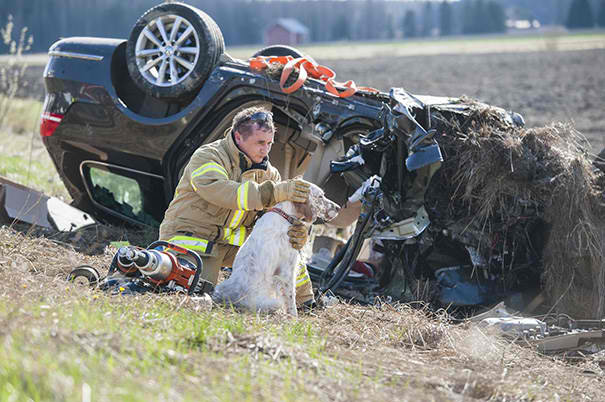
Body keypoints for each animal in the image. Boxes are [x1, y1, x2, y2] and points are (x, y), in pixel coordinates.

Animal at [211, 183, 340, 318]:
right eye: (320, 197)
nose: (339, 208)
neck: (285, 215)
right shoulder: (286, 271)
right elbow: (291, 299)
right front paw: (294, 318)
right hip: (273, 302)